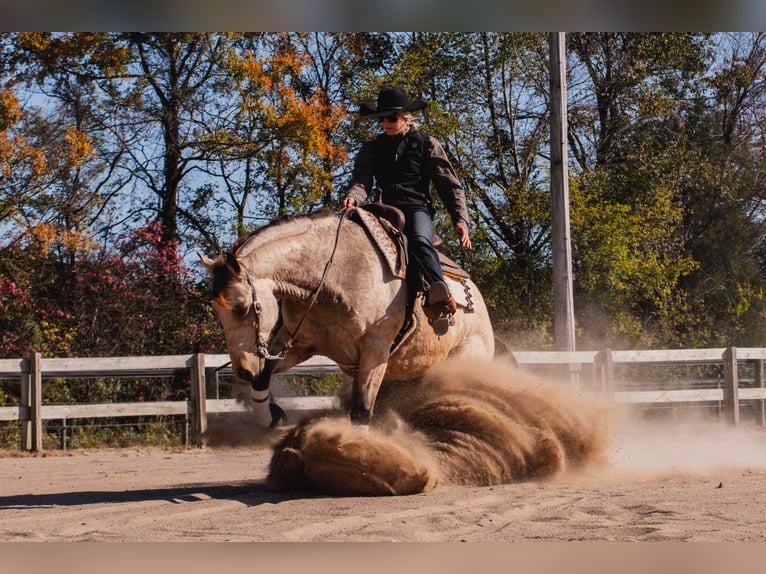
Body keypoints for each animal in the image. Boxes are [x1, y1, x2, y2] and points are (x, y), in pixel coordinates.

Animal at [199, 207, 495, 428]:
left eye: (243, 308)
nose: (243, 371)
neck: (335, 275)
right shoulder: (300, 345)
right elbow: (263, 378)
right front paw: (271, 416)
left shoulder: (375, 352)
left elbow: (361, 412)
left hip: (461, 363)